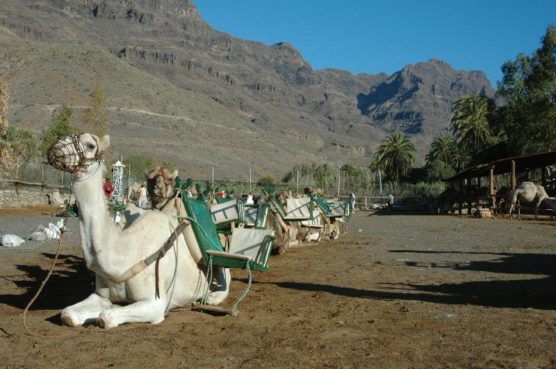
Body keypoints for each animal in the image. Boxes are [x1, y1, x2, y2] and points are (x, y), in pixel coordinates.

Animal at [47, 133, 229, 328]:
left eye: (90, 145)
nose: (56, 148)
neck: (125, 256)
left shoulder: (155, 303)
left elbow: (106, 317)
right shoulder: (100, 295)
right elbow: (68, 314)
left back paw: (213, 297)